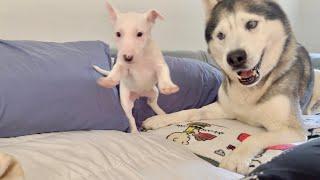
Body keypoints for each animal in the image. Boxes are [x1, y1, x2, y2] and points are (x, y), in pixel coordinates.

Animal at [94, 2, 180, 133]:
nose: (127, 57)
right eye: (118, 34)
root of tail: (140, 94)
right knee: (131, 117)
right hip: (126, 100)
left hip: (154, 91)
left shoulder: (159, 64)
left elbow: (163, 72)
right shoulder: (123, 66)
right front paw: (109, 80)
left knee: (152, 103)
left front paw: (168, 87)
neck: (141, 58)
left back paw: (161, 113)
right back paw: (134, 131)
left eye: (140, 34)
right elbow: (116, 70)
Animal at [144, 0, 318, 174]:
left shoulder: (293, 129)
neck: (249, 90)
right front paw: (160, 119)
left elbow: (256, 136)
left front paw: (235, 159)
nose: (235, 58)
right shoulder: (224, 108)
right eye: (221, 35)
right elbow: (191, 112)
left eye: (251, 24)